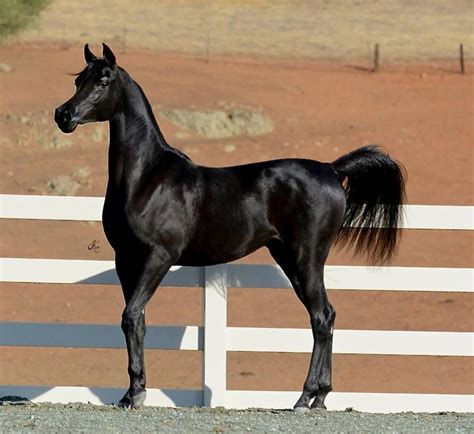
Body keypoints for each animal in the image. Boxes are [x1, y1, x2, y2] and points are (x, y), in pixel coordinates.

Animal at [54, 45, 404, 414]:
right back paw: (320, 397)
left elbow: (131, 315)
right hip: (288, 259)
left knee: (321, 318)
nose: (63, 115)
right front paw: (130, 391)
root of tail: (331, 169)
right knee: (327, 315)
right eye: (78, 79)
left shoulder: (159, 257)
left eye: (103, 80)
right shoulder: (126, 260)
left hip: (307, 258)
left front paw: (136, 394)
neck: (148, 178)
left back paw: (304, 398)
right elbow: (136, 320)